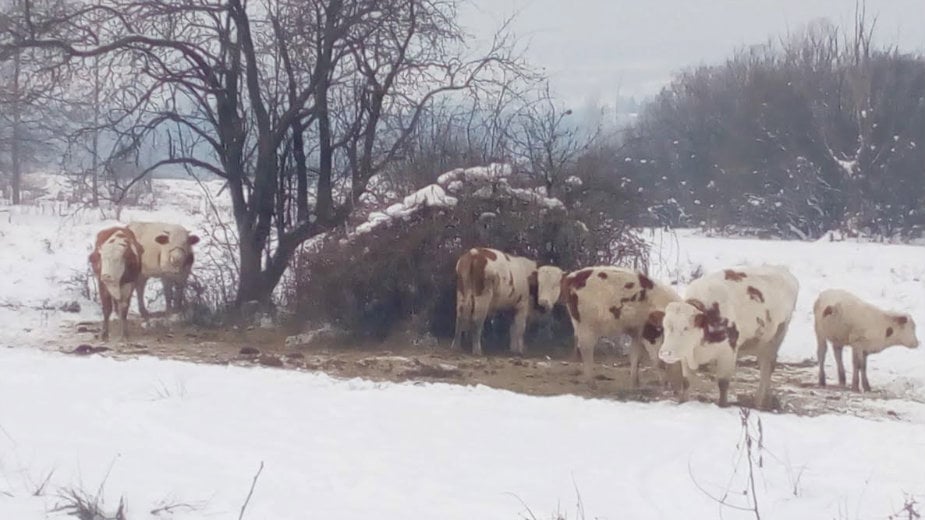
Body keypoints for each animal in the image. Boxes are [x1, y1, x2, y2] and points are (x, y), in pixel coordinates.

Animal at [536, 268, 684, 386]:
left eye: (554, 285)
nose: (543, 302)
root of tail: (575, 277)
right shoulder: (650, 333)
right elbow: (658, 359)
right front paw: (665, 385)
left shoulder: (637, 332)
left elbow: (636, 357)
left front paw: (635, 383)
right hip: (587, 326)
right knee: (586, 349)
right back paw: (591, 382)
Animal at [652, 266, 796, 408]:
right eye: (664, 327)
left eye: (685, 328)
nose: (666, 353)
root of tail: (784, 271)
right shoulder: (686, 356)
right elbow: (686, 382)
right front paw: (683, 402)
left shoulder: (727, 353)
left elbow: (723, 383)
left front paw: (722, 405)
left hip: (776, 338)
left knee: (767, 367)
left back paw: (760, 401)